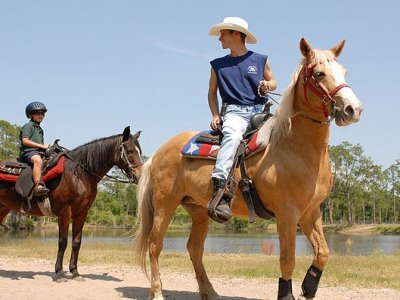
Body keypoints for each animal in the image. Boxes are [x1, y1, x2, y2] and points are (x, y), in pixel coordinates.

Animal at [0, 126, 143, 282]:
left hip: (3, 208)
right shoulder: (64, 212)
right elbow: (63, 242)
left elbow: (76, 242)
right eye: (130, 150)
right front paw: (59, 272)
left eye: (139, 151)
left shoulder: (82, 213)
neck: (79, 174)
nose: (140, 176)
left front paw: (75, 272)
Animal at [134, 38, 362, 300]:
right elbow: (287, 260)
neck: (294, 147)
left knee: (194, 248)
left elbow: (323, 253)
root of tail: (159, 152)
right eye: (319, 73)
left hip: (198, 210)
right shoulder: (287, 214)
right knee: (155, 245)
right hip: (165, 205)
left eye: (344, 71)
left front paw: (308, 287)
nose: (353, 109)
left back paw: (210, 291)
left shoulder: (310, 212)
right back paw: (157, 292)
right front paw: (287, 294)